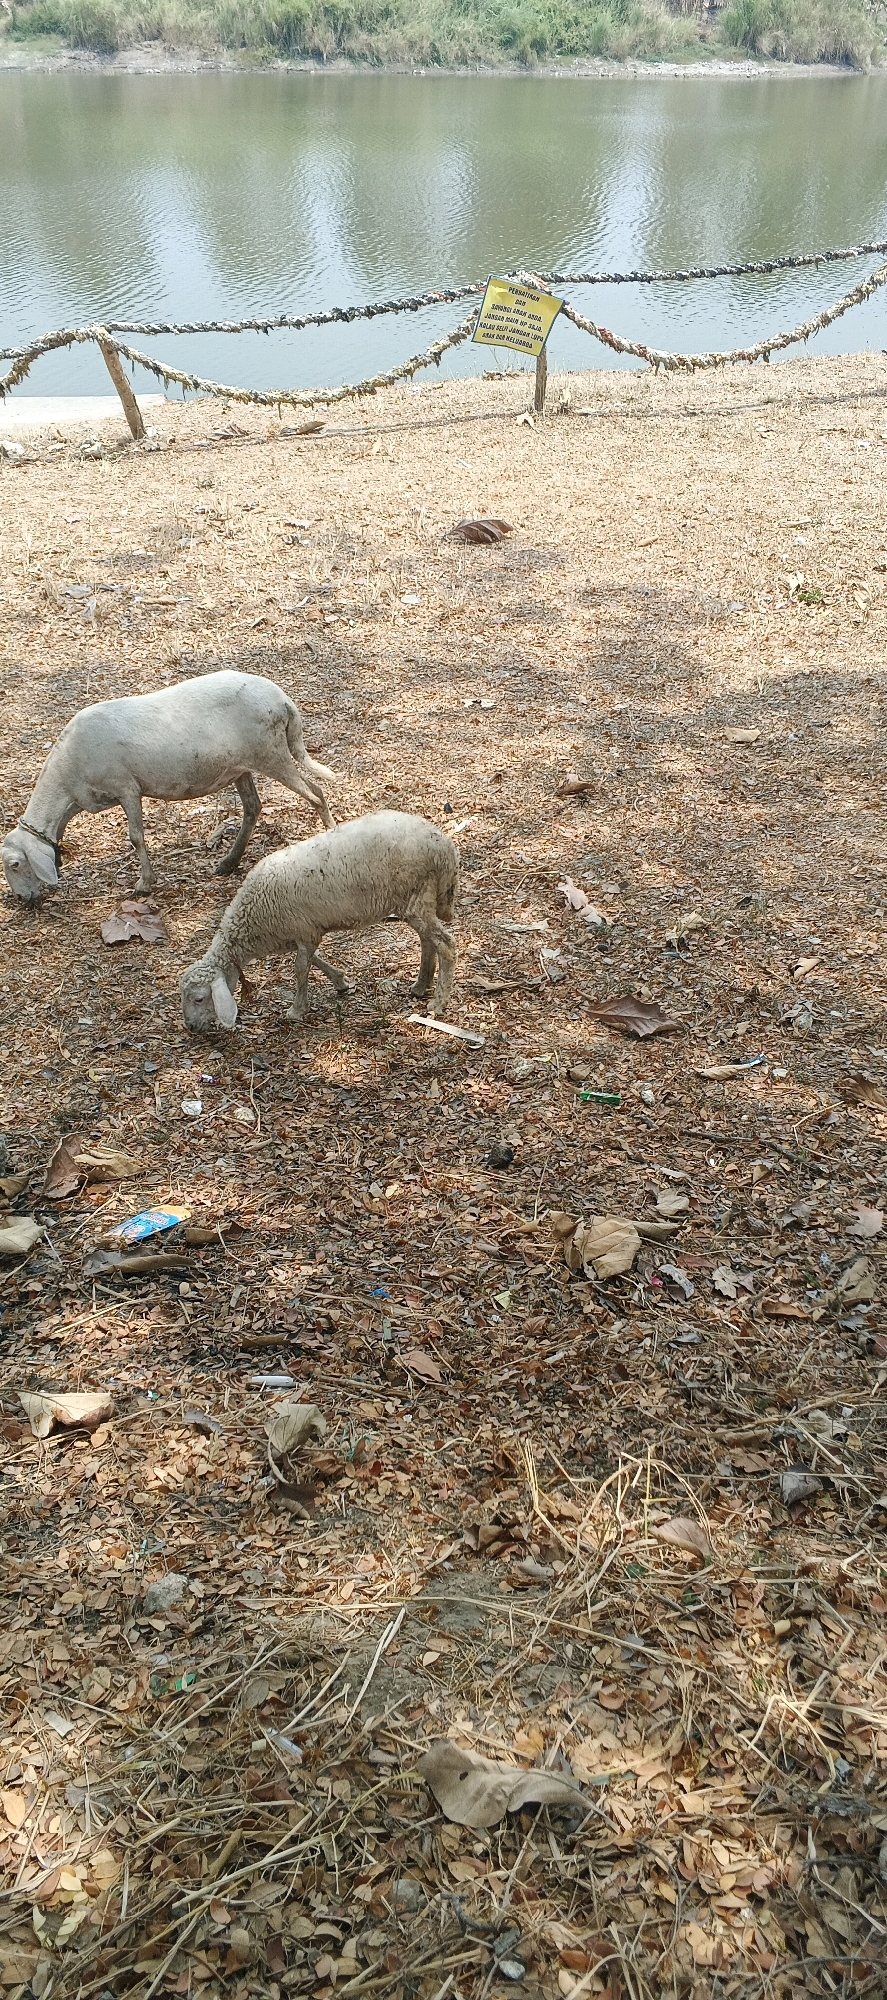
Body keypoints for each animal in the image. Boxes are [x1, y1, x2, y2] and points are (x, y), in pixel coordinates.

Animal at [2, 669, 335, 905]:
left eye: (15, 864)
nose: (22, 899)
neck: (68, 784)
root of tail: (283, 701)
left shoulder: (126, 787)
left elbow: (136, 837)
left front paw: (144, 884)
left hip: (271, 753)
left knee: (316, 794)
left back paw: (331, 836)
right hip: (241, 766)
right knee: (253, 807)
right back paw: (228, 862)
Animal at [179, 810, 458, 1032]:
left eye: (199, 998)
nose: (191, 1028)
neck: (253, 921)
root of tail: (445, 847)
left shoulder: (304, 932)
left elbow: (300, 969)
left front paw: (297, 1010)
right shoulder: (304, 933)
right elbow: (314, 960)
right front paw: (341, 981)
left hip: (416, 894)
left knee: (446, 944)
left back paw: (438, 1002)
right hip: (418, 897)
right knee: (427, 940)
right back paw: (420, 986)